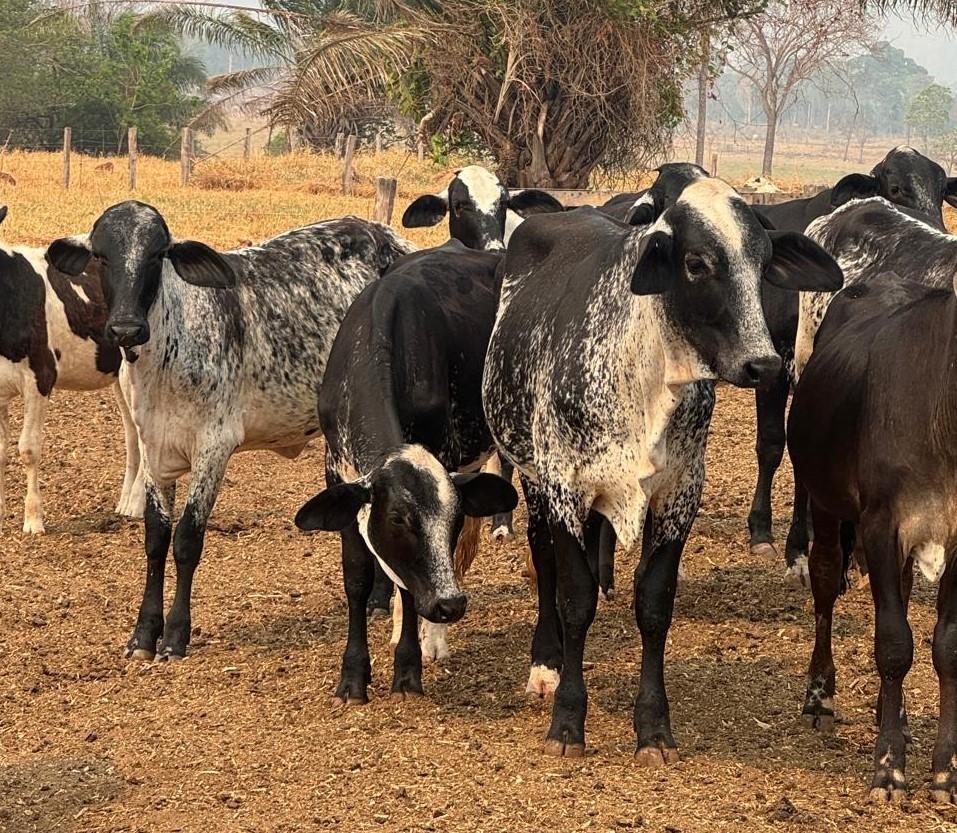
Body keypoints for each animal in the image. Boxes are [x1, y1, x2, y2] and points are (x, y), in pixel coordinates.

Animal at [0, 207, 142, 532]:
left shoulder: (41, 375)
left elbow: (29, 449)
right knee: (131, 434)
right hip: (119, 377)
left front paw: (33, 520)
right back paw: (125, 504)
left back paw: (138, 504)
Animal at [47, 200, 414, 656]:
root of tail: (390, 239)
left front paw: (175, 635)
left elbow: (187, 539)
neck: (170, 346)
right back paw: (379, 600)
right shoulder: (153, 449)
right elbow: (155, 538)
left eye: (157, 254)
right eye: (100, 255)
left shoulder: (213, 447)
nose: (126, 328)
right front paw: (144, 633)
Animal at [294, 237, 516, 700]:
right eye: (397, 518)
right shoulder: (338, 474)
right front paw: (353, 675)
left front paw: (409, 667)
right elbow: (358, 577)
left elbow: (411, 587)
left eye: (453, 517)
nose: (450, 605)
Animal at [482, 164, 840, 760]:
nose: (764, 364)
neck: (645, 378)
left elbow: (653, 602)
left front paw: (653, 726)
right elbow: (575, 597)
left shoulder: (679, 490)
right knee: (545, 559)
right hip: (533, 476)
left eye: (763, 262)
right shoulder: (564, 485)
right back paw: (546, 662)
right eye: (697, 263)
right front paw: (567, 721)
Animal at [788, 272, 956, 800]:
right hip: (823, 500)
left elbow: (947, 646)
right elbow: (894, 643)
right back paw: (819, 696)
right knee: (824, 580)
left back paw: (893, 712)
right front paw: (888, 768)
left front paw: (945, 772)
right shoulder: (881, 525)